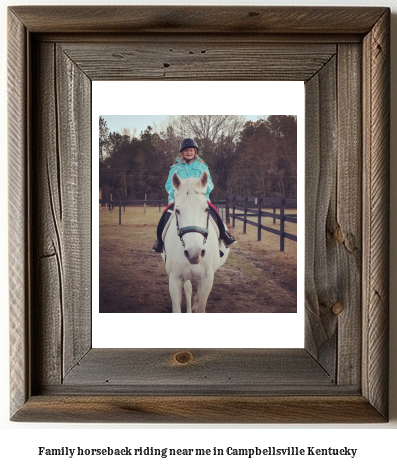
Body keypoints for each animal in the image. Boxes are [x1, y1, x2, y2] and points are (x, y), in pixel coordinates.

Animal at [161, 172, 229, 314]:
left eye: (206, 209)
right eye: (177, 210)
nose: (194, 253)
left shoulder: (207, 278)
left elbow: (201, 307)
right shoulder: (175, 278)